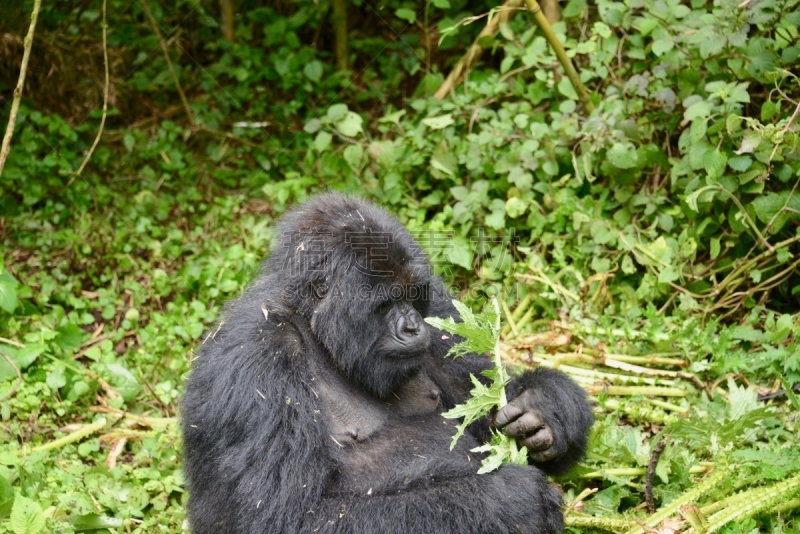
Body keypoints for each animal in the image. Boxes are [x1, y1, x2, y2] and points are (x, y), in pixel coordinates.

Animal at [183, 195, 592, 534]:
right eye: (386, 303)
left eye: (412, 295)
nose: (413, 327)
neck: (316, 330)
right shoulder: (256, 356)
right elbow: (291, 518)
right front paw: (512, 501)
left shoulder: (438, 306)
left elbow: (480, 399)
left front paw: (542, 409)